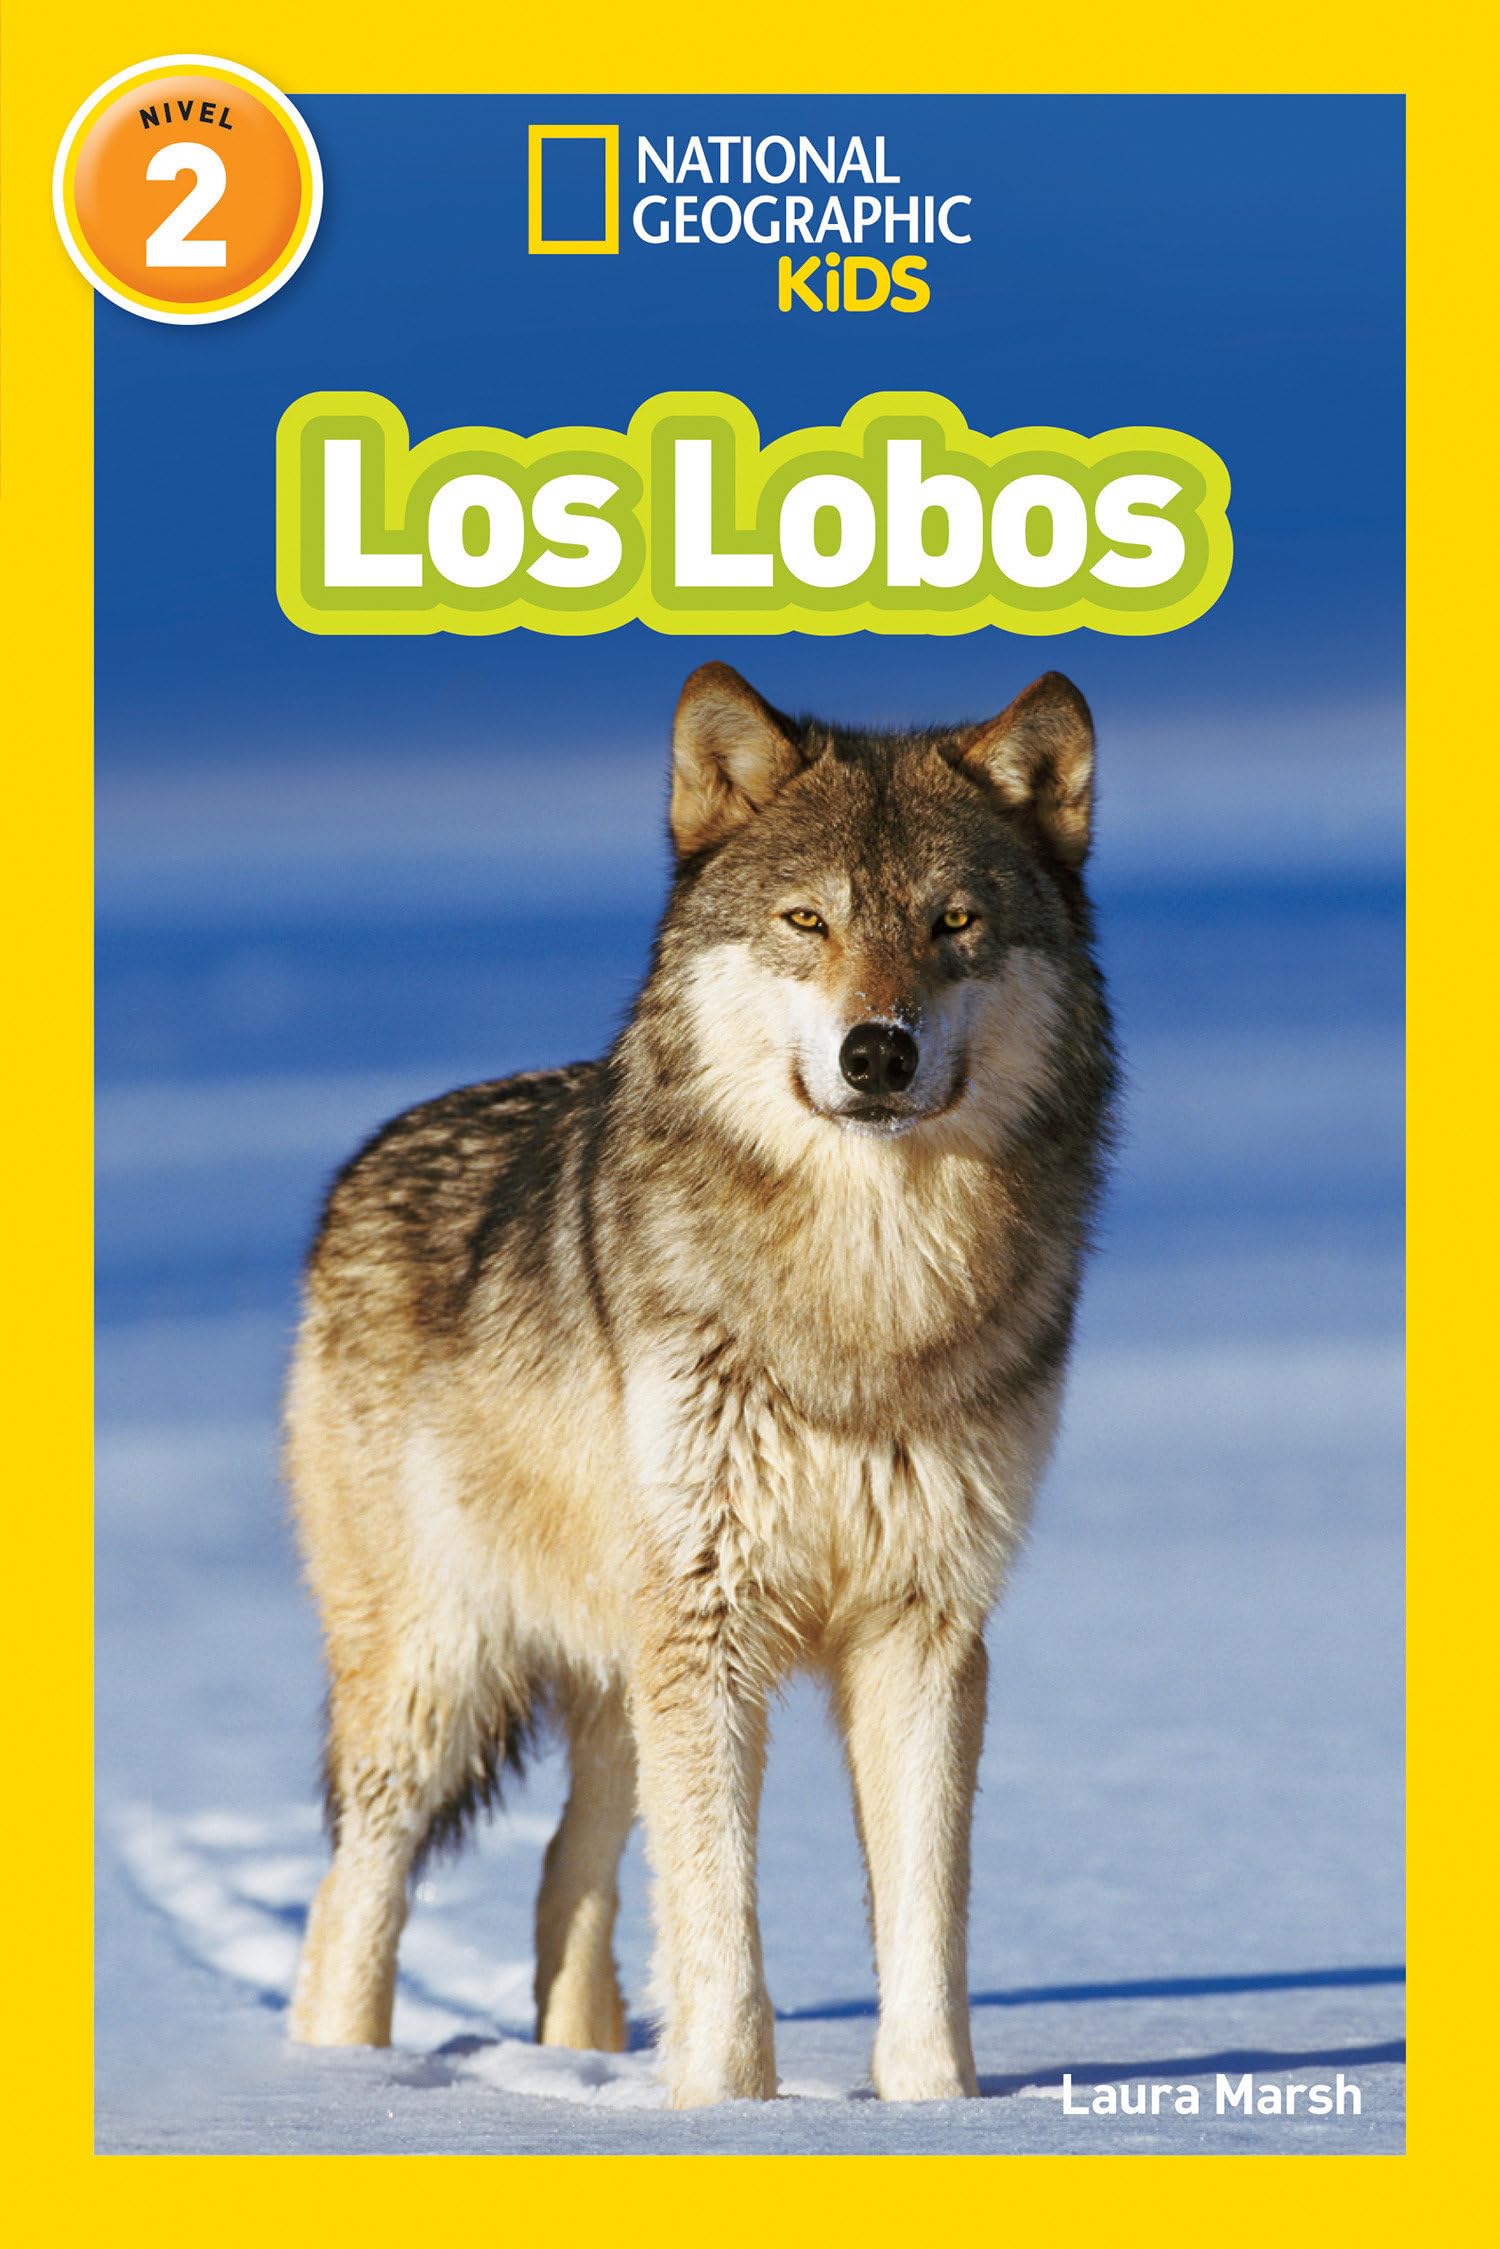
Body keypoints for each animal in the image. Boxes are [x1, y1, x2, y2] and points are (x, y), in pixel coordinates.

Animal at [285, 662, 1115, 2107]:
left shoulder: (920, 1626)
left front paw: (935, 2110)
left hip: (616, 1680)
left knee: (571, 1877)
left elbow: (924, 1925)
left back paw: (577, 2066)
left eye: (954, 922)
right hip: (438, 1679)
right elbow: (722, 1930)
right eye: (807, 920)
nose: (877, 1051)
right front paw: (728, 2114)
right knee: (353, 1899)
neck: (862, 1296)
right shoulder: (712, 1624)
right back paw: (338, 2089)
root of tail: (365, 1158)